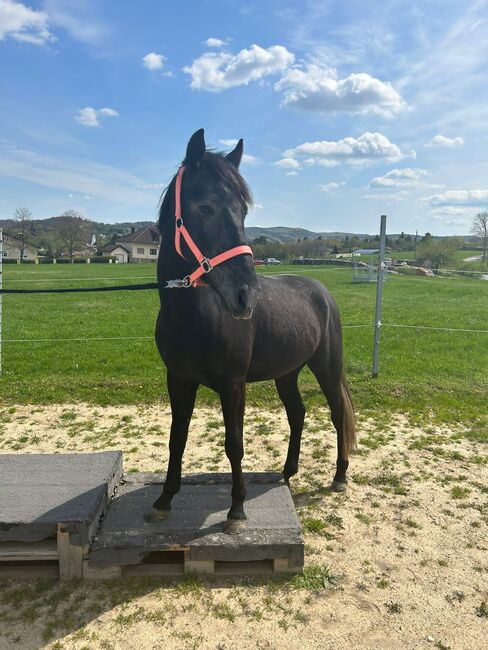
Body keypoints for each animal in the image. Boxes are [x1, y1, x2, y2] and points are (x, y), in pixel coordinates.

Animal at [147, 128, 356, 532]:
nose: (246, 296)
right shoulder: (178, 380)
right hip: (287, 373)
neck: (193, 317)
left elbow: (234, 444)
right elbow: (176, 439)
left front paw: (237, 511)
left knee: (337, 412)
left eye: (243, 211)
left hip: (326, 366)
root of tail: (321, 291)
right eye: (205, 207)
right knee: (298, 412)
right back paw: (287, 471)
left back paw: (339, 476)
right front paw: (164, 501)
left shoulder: (233, 384)